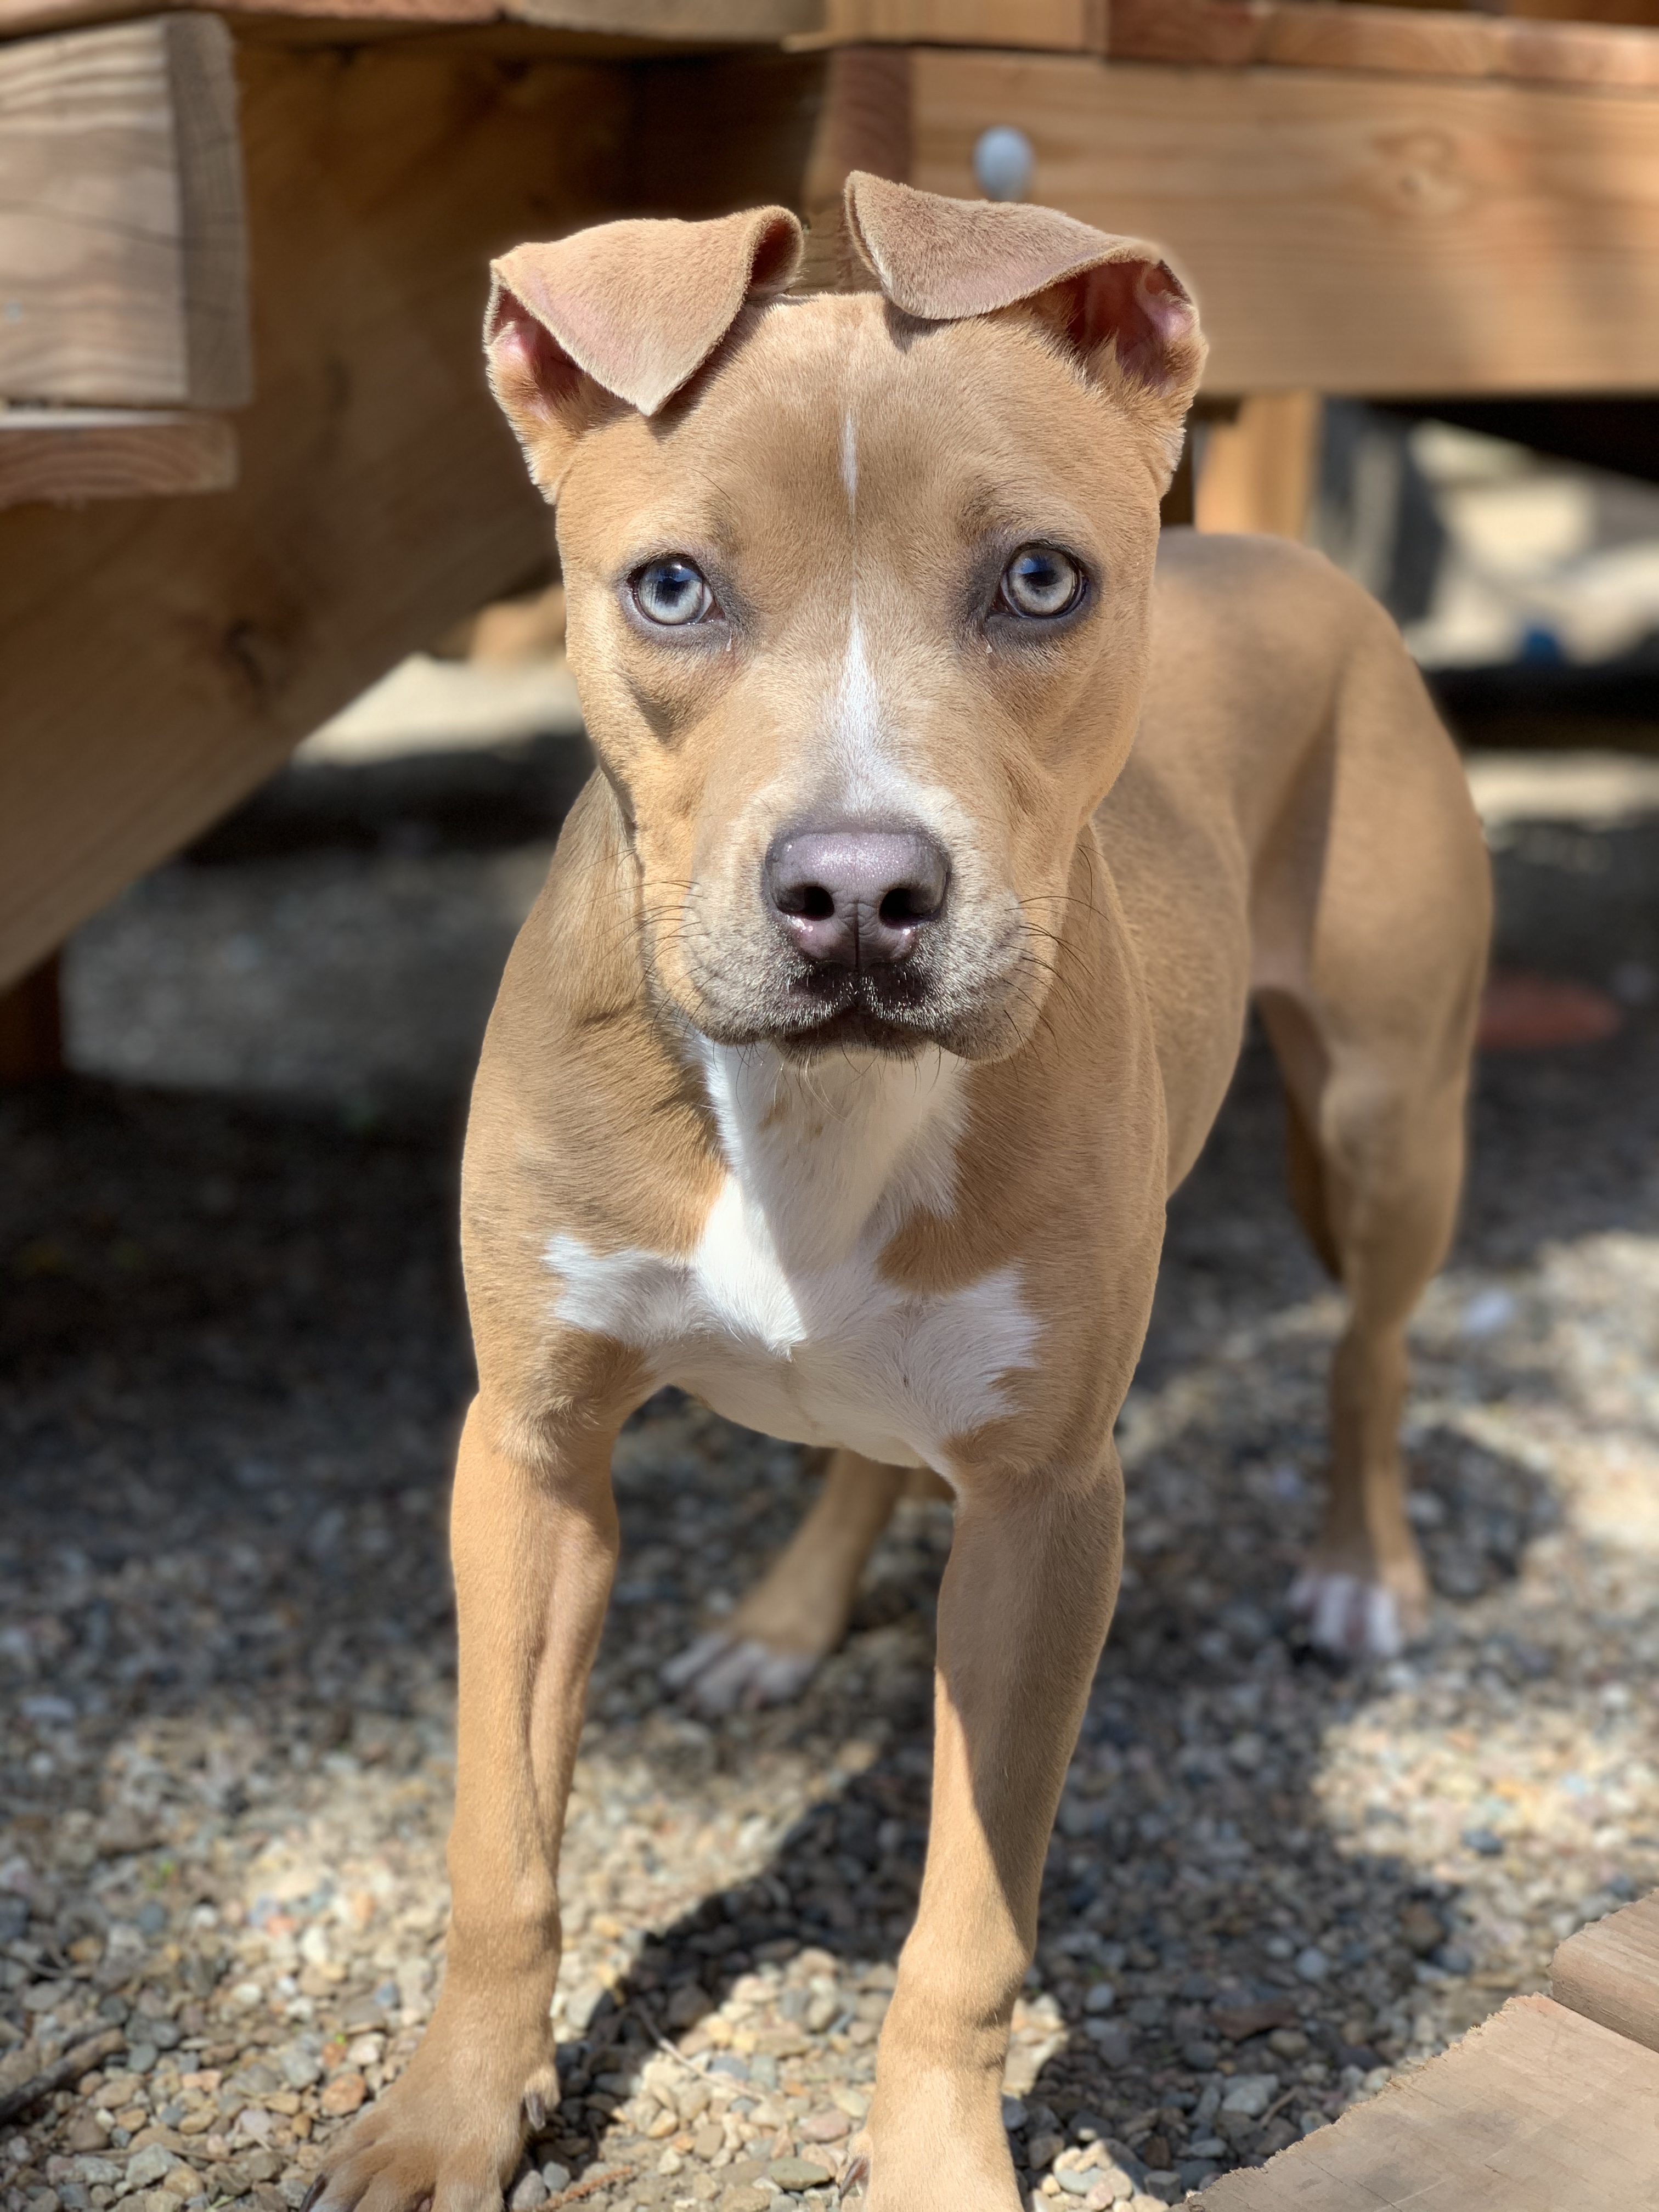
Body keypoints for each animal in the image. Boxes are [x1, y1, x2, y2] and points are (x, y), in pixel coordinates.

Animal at [309, 181, 1495, 2212]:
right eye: (670, 588)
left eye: (1039, 580)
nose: (858, 895)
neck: (816, 1102)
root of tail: (1302, 568)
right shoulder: (530, 1456)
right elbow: (499, 1843)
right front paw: (454, 2111)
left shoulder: (1048, 1513)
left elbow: (965, 1929)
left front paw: (936, 2162)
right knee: (861, 1440)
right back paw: (784, 1624)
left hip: (1386, 1116)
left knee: (1369, 1356)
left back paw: (1361, 1574)